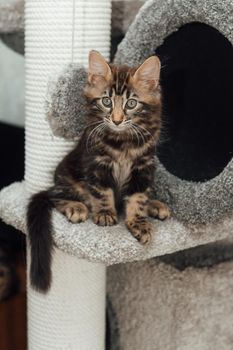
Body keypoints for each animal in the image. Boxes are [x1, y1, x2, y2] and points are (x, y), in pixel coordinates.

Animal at [26, 50, 169, 292]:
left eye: (132, 103)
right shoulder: (96, 162)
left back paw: (156, 205)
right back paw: (76, 207)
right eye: (106, 101)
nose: (117, 120)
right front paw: (104, 213)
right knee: (56, 196)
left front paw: (138, 222)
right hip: (66, 174)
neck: (123, 141)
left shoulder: (143, 166)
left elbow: (138, 197)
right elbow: (102, 192)